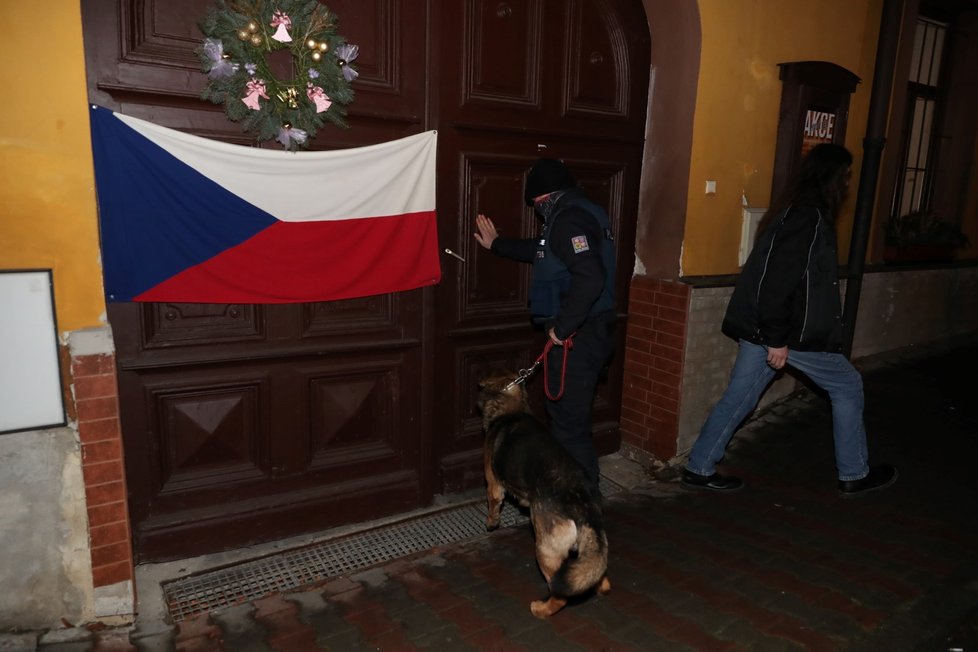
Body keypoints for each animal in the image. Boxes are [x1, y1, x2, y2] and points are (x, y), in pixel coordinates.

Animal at [474, 372, 608, 616]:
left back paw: (541, 609)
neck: (512, 409)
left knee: (560, 593)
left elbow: (493, 504)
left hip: (545, 550)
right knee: (597, 574)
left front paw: (491, 523)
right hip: (590, 545)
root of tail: (580, 503)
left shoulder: (493, 483)